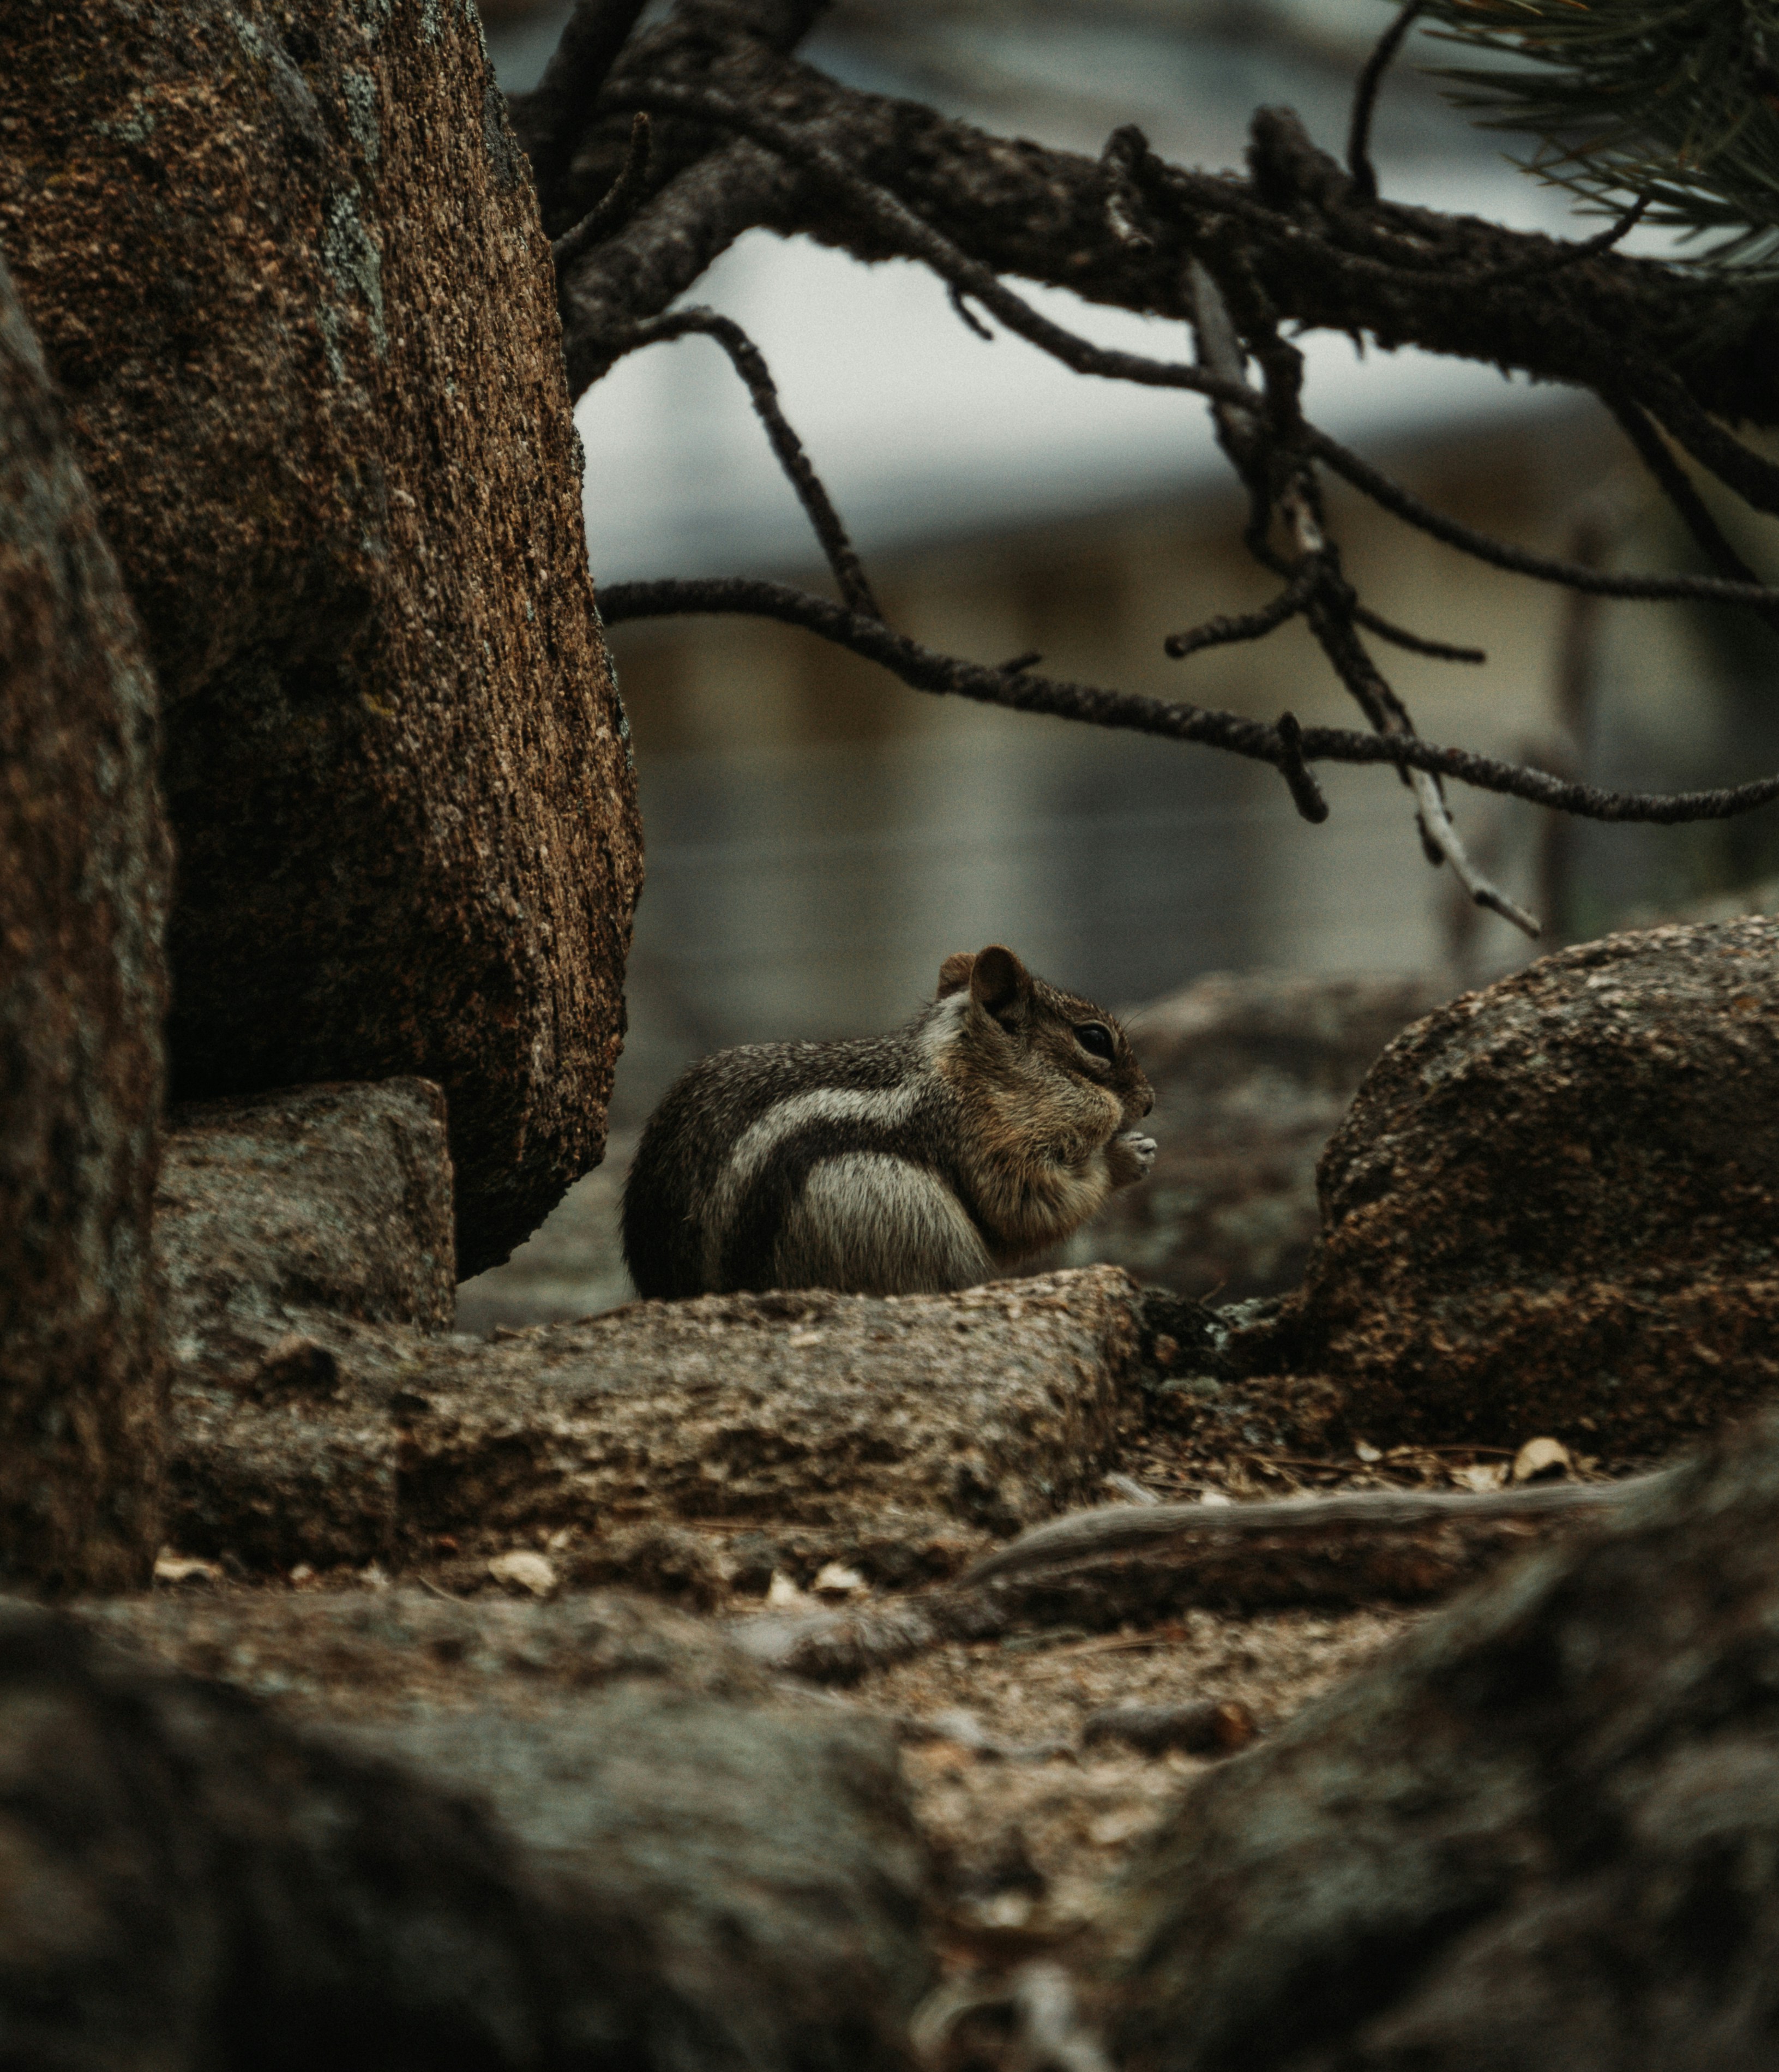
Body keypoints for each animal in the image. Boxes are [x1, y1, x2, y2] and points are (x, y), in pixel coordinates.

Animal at [621, 944, 1157, 1300]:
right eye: (1095, 1040)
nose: (1150, 1101)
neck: (969, 1077)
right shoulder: (987, 1145)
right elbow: (1028, 1210)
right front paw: (1126, 1156)